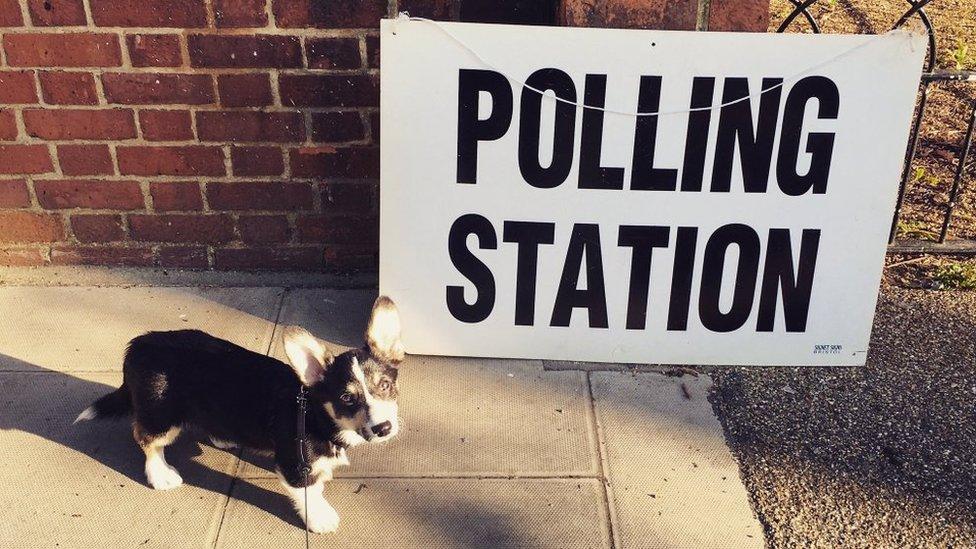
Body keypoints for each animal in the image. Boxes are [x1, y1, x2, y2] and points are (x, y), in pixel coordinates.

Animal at [75, 296, 404, 532]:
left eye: (385, 386)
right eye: (347, 398)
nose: (384, 428)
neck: (316, 413)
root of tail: (136, 345)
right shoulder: (294, 465)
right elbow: (309, 493)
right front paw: (321, 518)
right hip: (161, 417)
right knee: (145, 438)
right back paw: (160, 475)